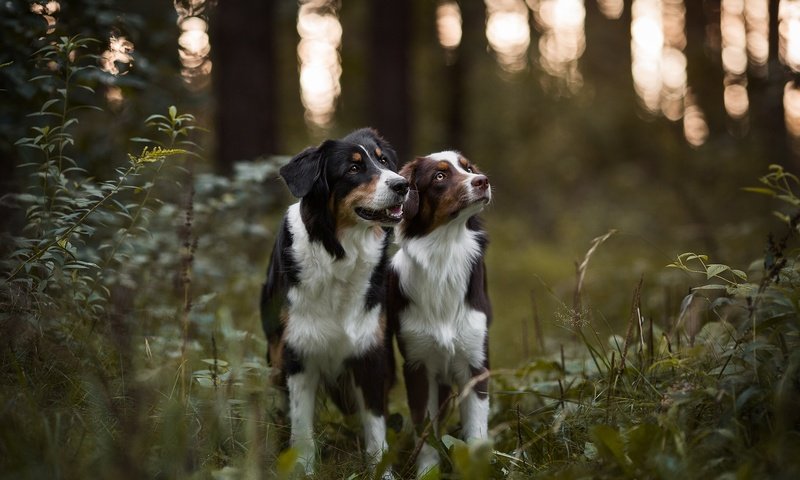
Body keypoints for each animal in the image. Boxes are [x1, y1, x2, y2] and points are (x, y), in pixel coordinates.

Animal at [262, 127, 410, 476]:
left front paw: (382, 473)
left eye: (384, 161)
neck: (340, 255)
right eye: (353, 168)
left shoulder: (371, 352)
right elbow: (302, 430)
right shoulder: (297, 353)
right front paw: (303, 471)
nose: (403, 184)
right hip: (275, 359)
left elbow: (376, 430)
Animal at [390, 150, 494, 476]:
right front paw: (427, 473)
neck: (444, 254)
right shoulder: (418, 367)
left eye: (468, 168)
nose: (483, 180)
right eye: (439, 176)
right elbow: (426, 434)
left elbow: (476, 433)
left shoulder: (476, 363)